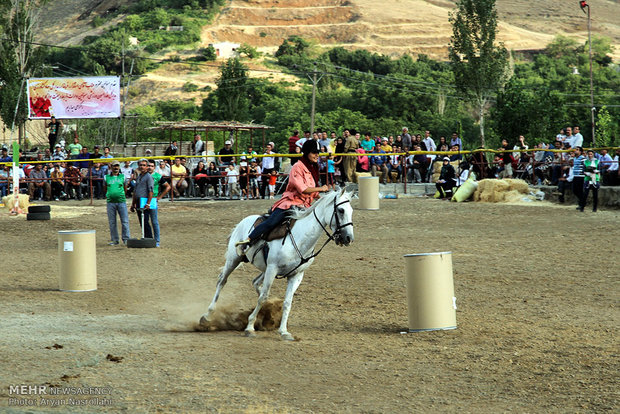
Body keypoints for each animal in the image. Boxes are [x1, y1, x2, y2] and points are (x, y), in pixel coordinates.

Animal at [199, 188, 354, 340]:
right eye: (341, 210)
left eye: (351, 210)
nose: (348, 238)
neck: (300, 238)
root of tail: (243, 221)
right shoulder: (272, 269)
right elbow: (263, 297)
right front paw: (250, 327)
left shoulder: (296, 275)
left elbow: (287, 302)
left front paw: (284, 331)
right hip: (234, 259)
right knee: (222, 281)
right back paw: (207, 316)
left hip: (263, 269)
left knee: (255, 282)